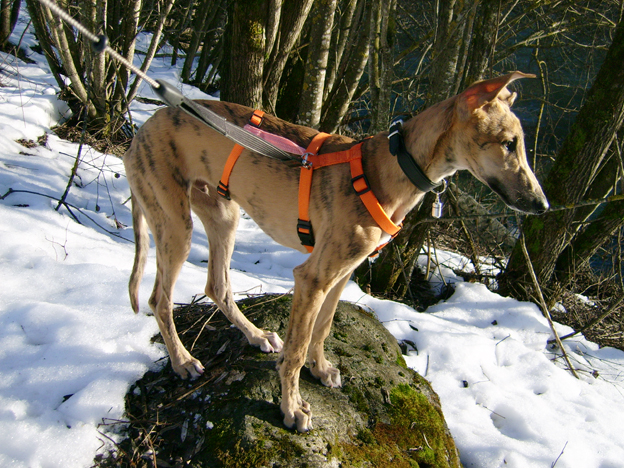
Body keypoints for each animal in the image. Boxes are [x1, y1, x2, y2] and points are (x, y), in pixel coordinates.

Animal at [123, 71, 548, 432]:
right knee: (160, 298)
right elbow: (295, 351)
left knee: (218, 286)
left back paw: (256, 335)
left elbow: (323, 326)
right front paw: (292, 409)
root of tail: (141, 129)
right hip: (175, 224)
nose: (542, 206)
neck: (390, 168)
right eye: (509, 143)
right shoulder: (312, 277)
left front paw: (321, 368)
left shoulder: (343, 272)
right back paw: (182, 360)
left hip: (222, 215)